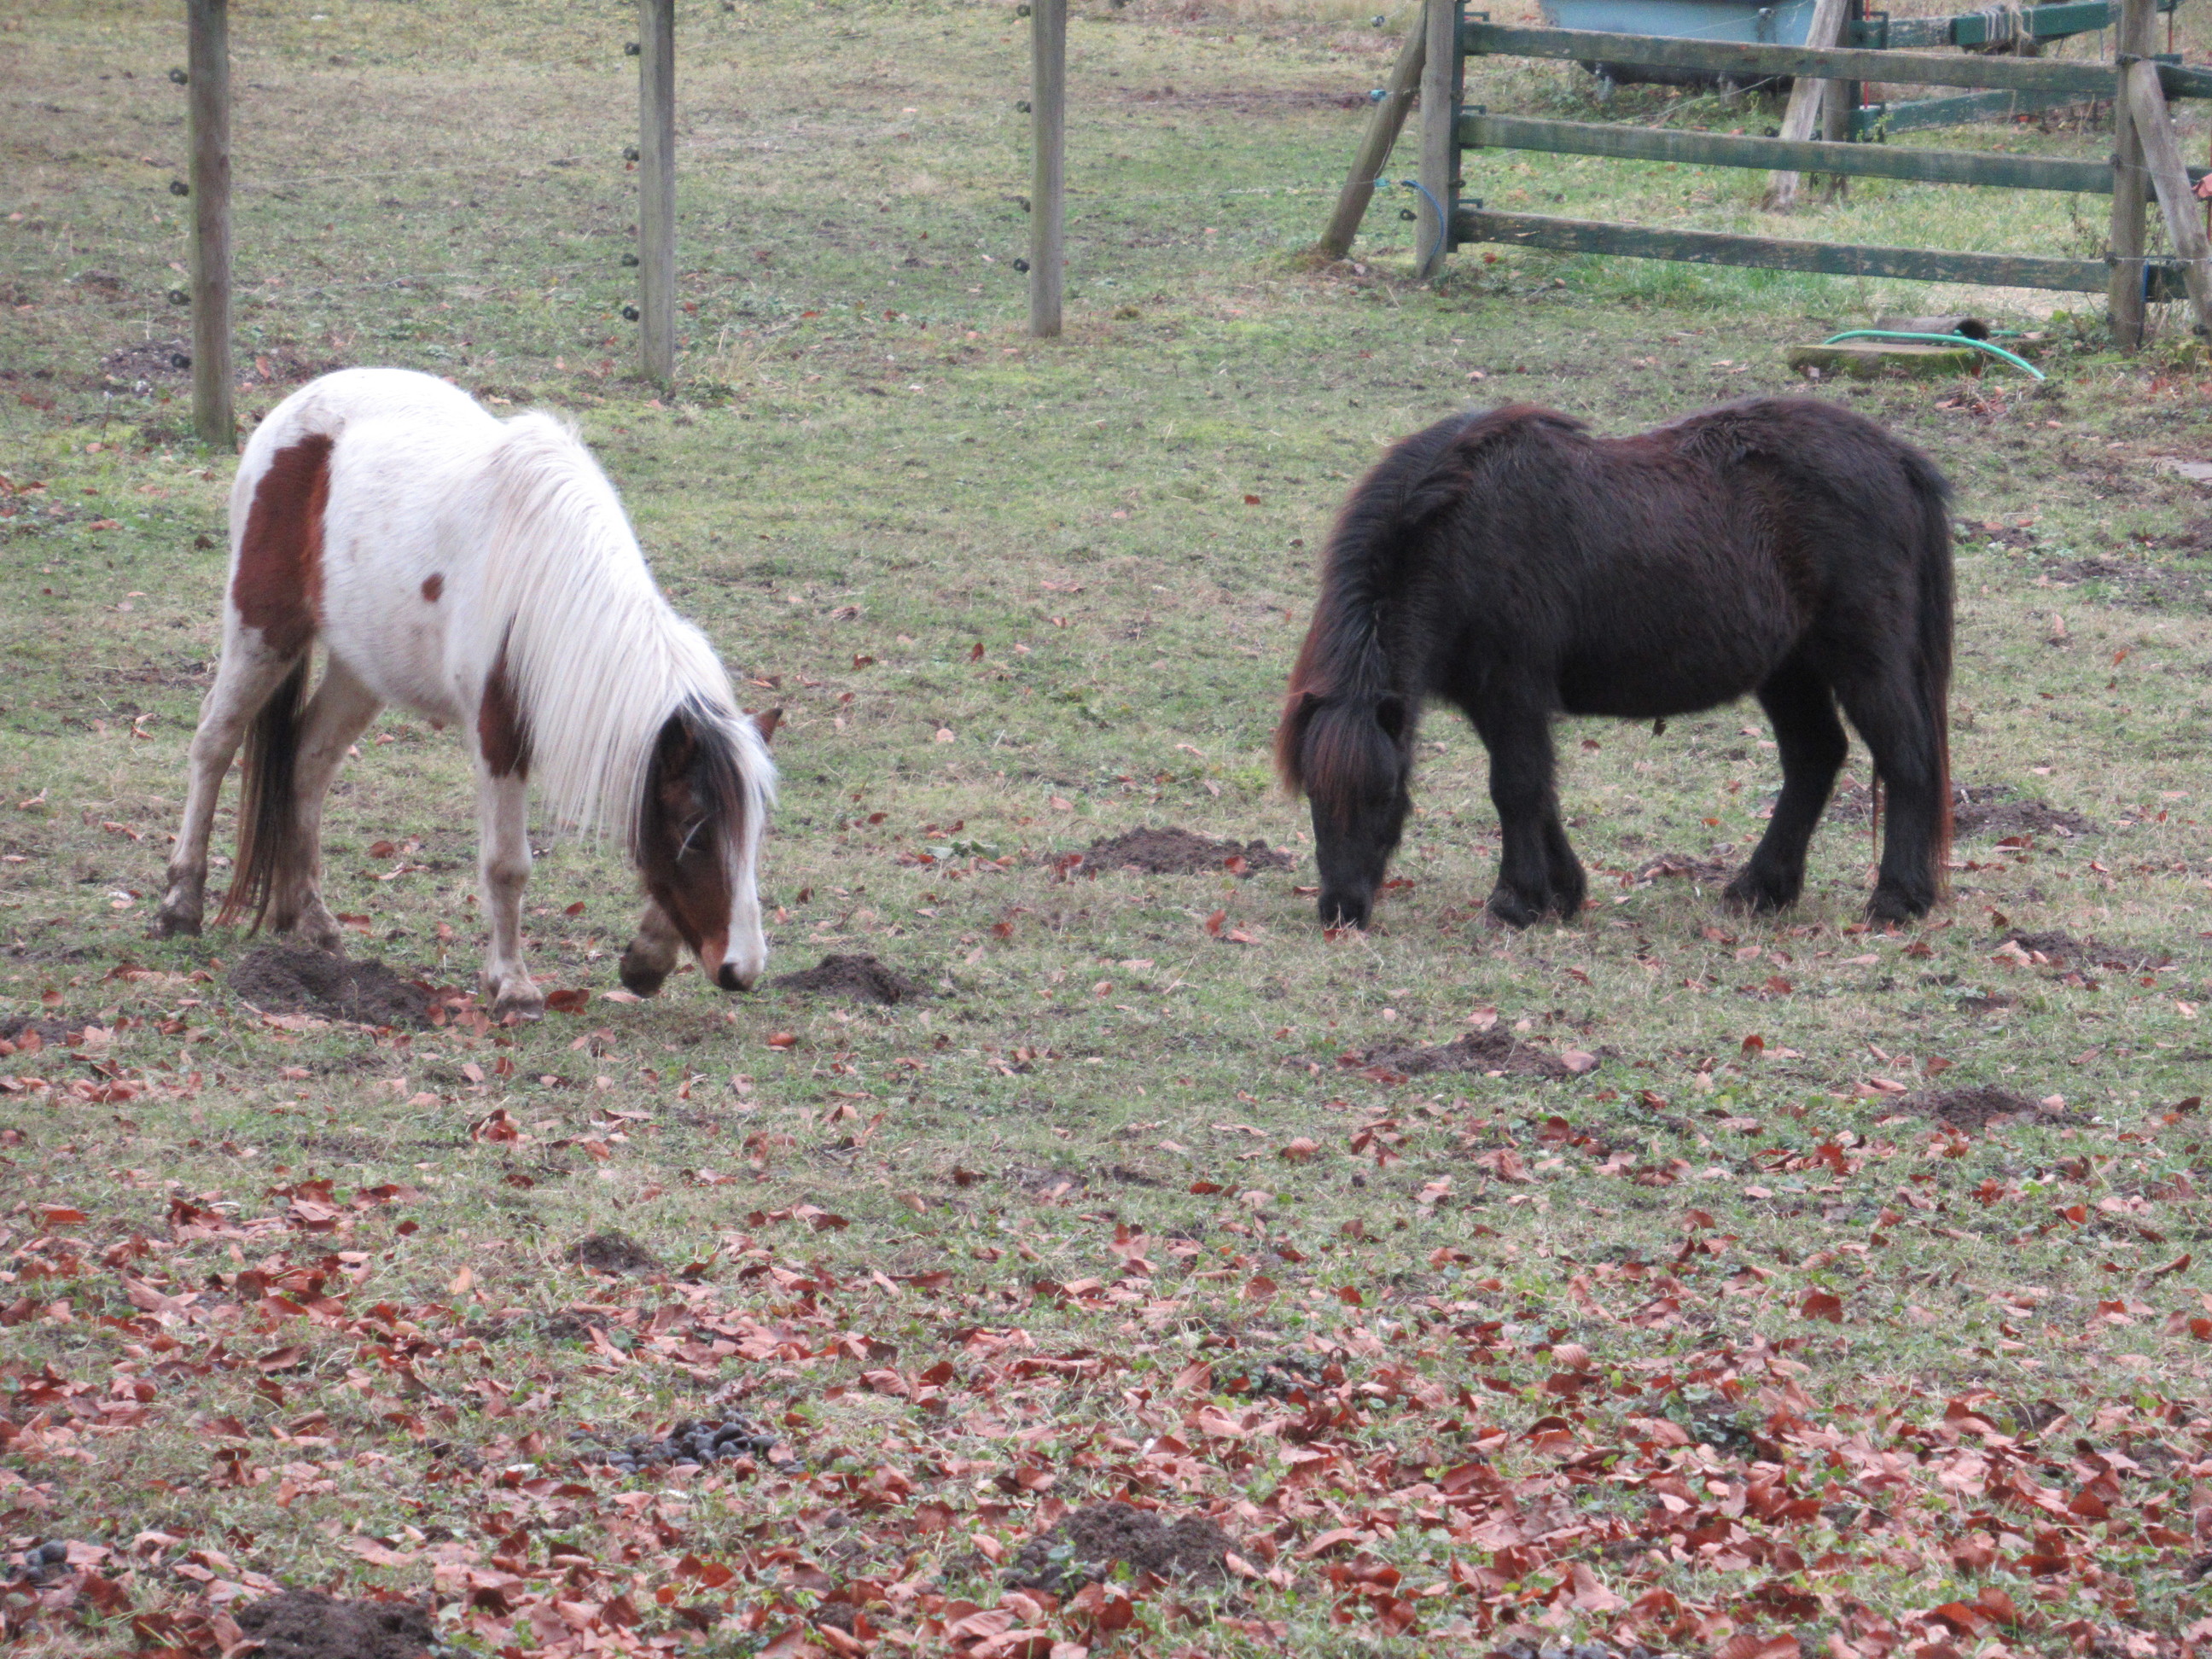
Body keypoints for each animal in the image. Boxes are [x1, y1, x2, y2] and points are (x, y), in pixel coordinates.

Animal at [153, 367, 778, 1018]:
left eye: (754, 831)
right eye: (694, 831)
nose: (742, 969)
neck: (542, 576)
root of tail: (292, 410)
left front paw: (648, 957)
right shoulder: (498, 733)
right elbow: (507, 865)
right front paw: (512, 984)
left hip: (362, 666)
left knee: (307, 761)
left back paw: (311, 922)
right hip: (262, 631)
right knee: (215, 742)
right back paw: (180, 904)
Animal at [1275, 397, 1953, 932]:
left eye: (1385, 793)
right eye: (1312, 791)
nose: (1341, 911)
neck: (1462, 532)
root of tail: (1895, 456)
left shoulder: (1511, 689)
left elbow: (1514, 787)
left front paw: (1515, 902)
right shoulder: (1493, 699)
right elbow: (1539, 789)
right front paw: (1562, 893)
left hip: (1864, 661)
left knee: (1907, 758)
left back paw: (1896, 899)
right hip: (1790, 671)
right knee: (1815, 759)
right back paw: (1760, 890)